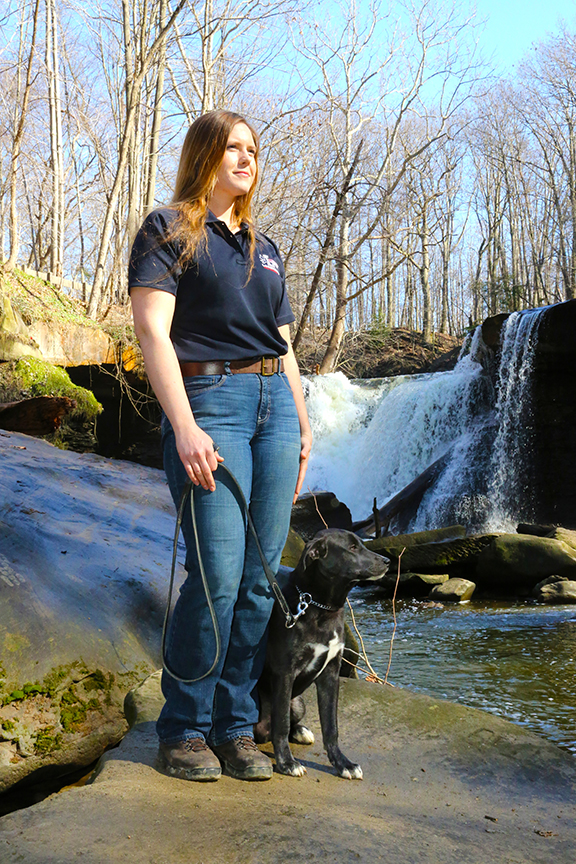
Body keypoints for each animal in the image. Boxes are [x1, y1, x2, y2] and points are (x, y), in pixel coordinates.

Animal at [254, 528, 390, 780]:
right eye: (352, 548)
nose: (387, 561)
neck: (320, 607)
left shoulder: (331, 673)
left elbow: (331, 726)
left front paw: (343, 763)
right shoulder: (285, 672)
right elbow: (281, 723)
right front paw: (287, 763)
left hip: (298, 703)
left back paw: (301, 731)